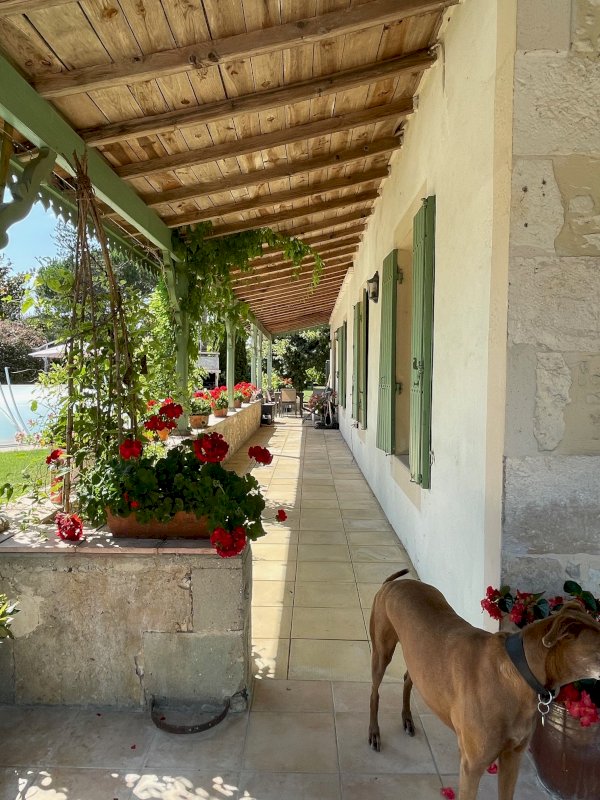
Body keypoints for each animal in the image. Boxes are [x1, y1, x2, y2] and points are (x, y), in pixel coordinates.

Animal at [368, 569, 600, 800]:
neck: (519, 673)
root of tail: (393, 583)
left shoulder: (512, 756)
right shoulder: (472, 766)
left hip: (417, 659)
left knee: (408, 678)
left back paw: (407, 718)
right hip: (382, 650)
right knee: (374, 692)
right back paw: (374, 733)